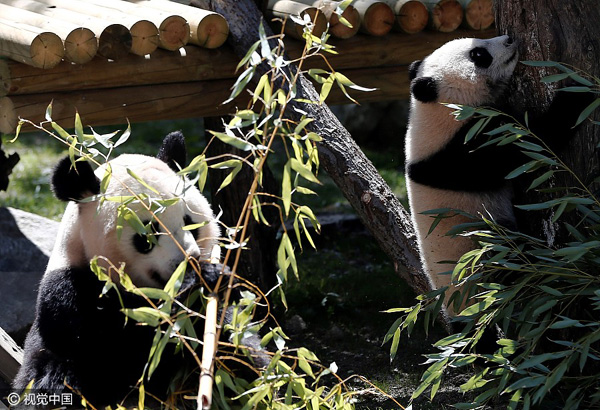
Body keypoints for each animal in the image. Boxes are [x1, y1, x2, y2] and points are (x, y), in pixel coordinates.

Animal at [11, 132, 264, 406]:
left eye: (190, 223)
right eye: (147, 234)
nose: (190, 261)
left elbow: (233, 340)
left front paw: (217, 279)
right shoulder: (72, 298)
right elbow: (123, 352)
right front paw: (200, 281)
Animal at [406, 36, 592, 318]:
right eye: (478, 54)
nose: (509, 39)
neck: (438, 109)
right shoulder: (461, 151)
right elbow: (526, 146)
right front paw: (577, 94)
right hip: (483, 253)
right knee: (517, 263)